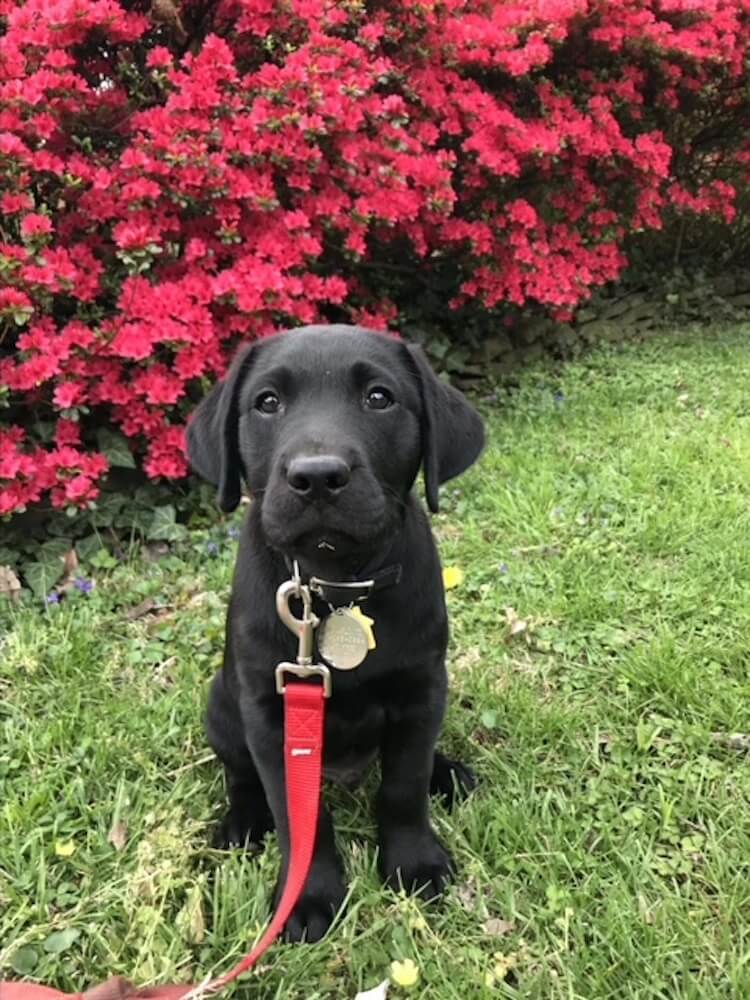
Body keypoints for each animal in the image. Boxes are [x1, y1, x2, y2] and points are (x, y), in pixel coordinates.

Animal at [185, 324, 484, 940]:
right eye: (267, 403)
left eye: (379, 398)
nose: (317, 476)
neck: (336, 584)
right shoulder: (274, 715)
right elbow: (299, 815)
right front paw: (308, 896)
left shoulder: (422, 689)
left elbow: (404, 784)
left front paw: (413, 863)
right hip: (222, 706)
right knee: (239, 775)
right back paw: (242, 822)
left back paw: (447, 774)